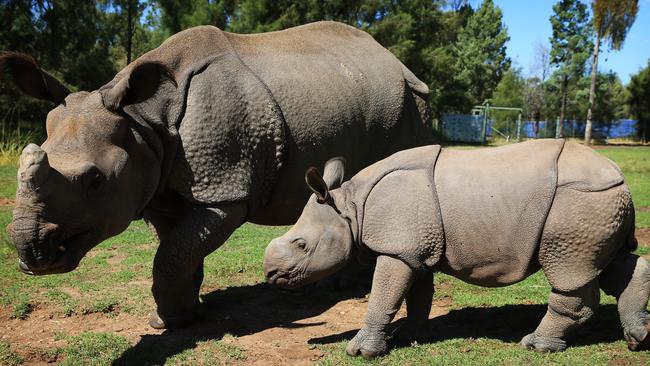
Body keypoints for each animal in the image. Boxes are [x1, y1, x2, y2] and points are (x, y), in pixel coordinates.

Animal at [5, 20, 432, 328]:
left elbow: (171, 254)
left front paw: (168, 322)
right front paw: (180, 316)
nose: (32, 253)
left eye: (94, 181)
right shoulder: (160, 186)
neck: (143, 120)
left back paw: (342, 288)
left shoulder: (225, 191)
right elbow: (175, 251)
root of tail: (397, 61)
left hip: (410, 102)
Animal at [260, 139, 644, 358]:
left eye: (301, 244)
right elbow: (416, 294)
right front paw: (409, 336)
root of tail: (620, 176)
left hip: (577, 204)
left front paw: (360, 351)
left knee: (568, 271)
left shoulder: (397, 247)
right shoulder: (412, 249)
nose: (271, 274)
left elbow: (383, 295)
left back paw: (535, 345)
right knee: (611, 264)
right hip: (598, 207)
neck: (350, 208)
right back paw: (637, 338)